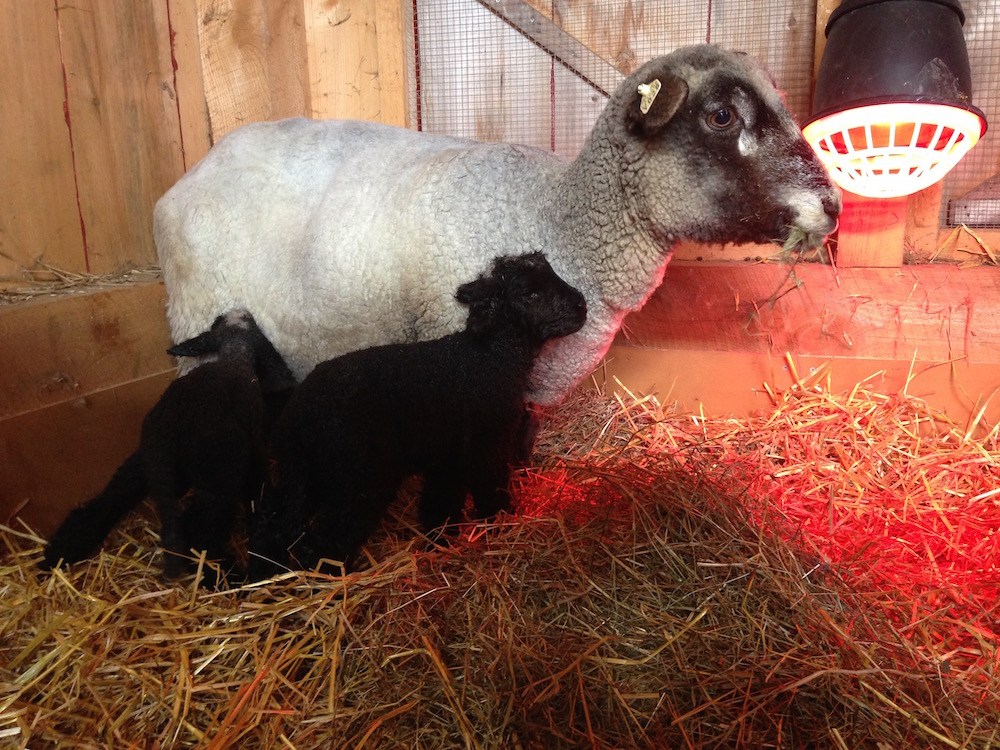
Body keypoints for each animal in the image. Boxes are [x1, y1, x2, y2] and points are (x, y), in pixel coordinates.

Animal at [43, 308, 292, 584]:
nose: (238, 310)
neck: (234, 356)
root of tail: (175, 428)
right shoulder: (254, 451)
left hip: (142, 461)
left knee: (109, 500)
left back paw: (61, 550)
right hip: (217, 477)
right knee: (202, 533)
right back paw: (223, 575)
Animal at [250, 253, 588, 576]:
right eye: (532, 293)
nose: (582, 305)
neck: (494, 356)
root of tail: (298, 417)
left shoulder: (449, 454)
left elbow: (440, 499)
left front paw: (441, 536)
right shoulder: (486, 446)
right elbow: (489, 487)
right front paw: (500, 521)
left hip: (304, 473)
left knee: (276, 522)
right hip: (357, 478)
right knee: (324, 541)